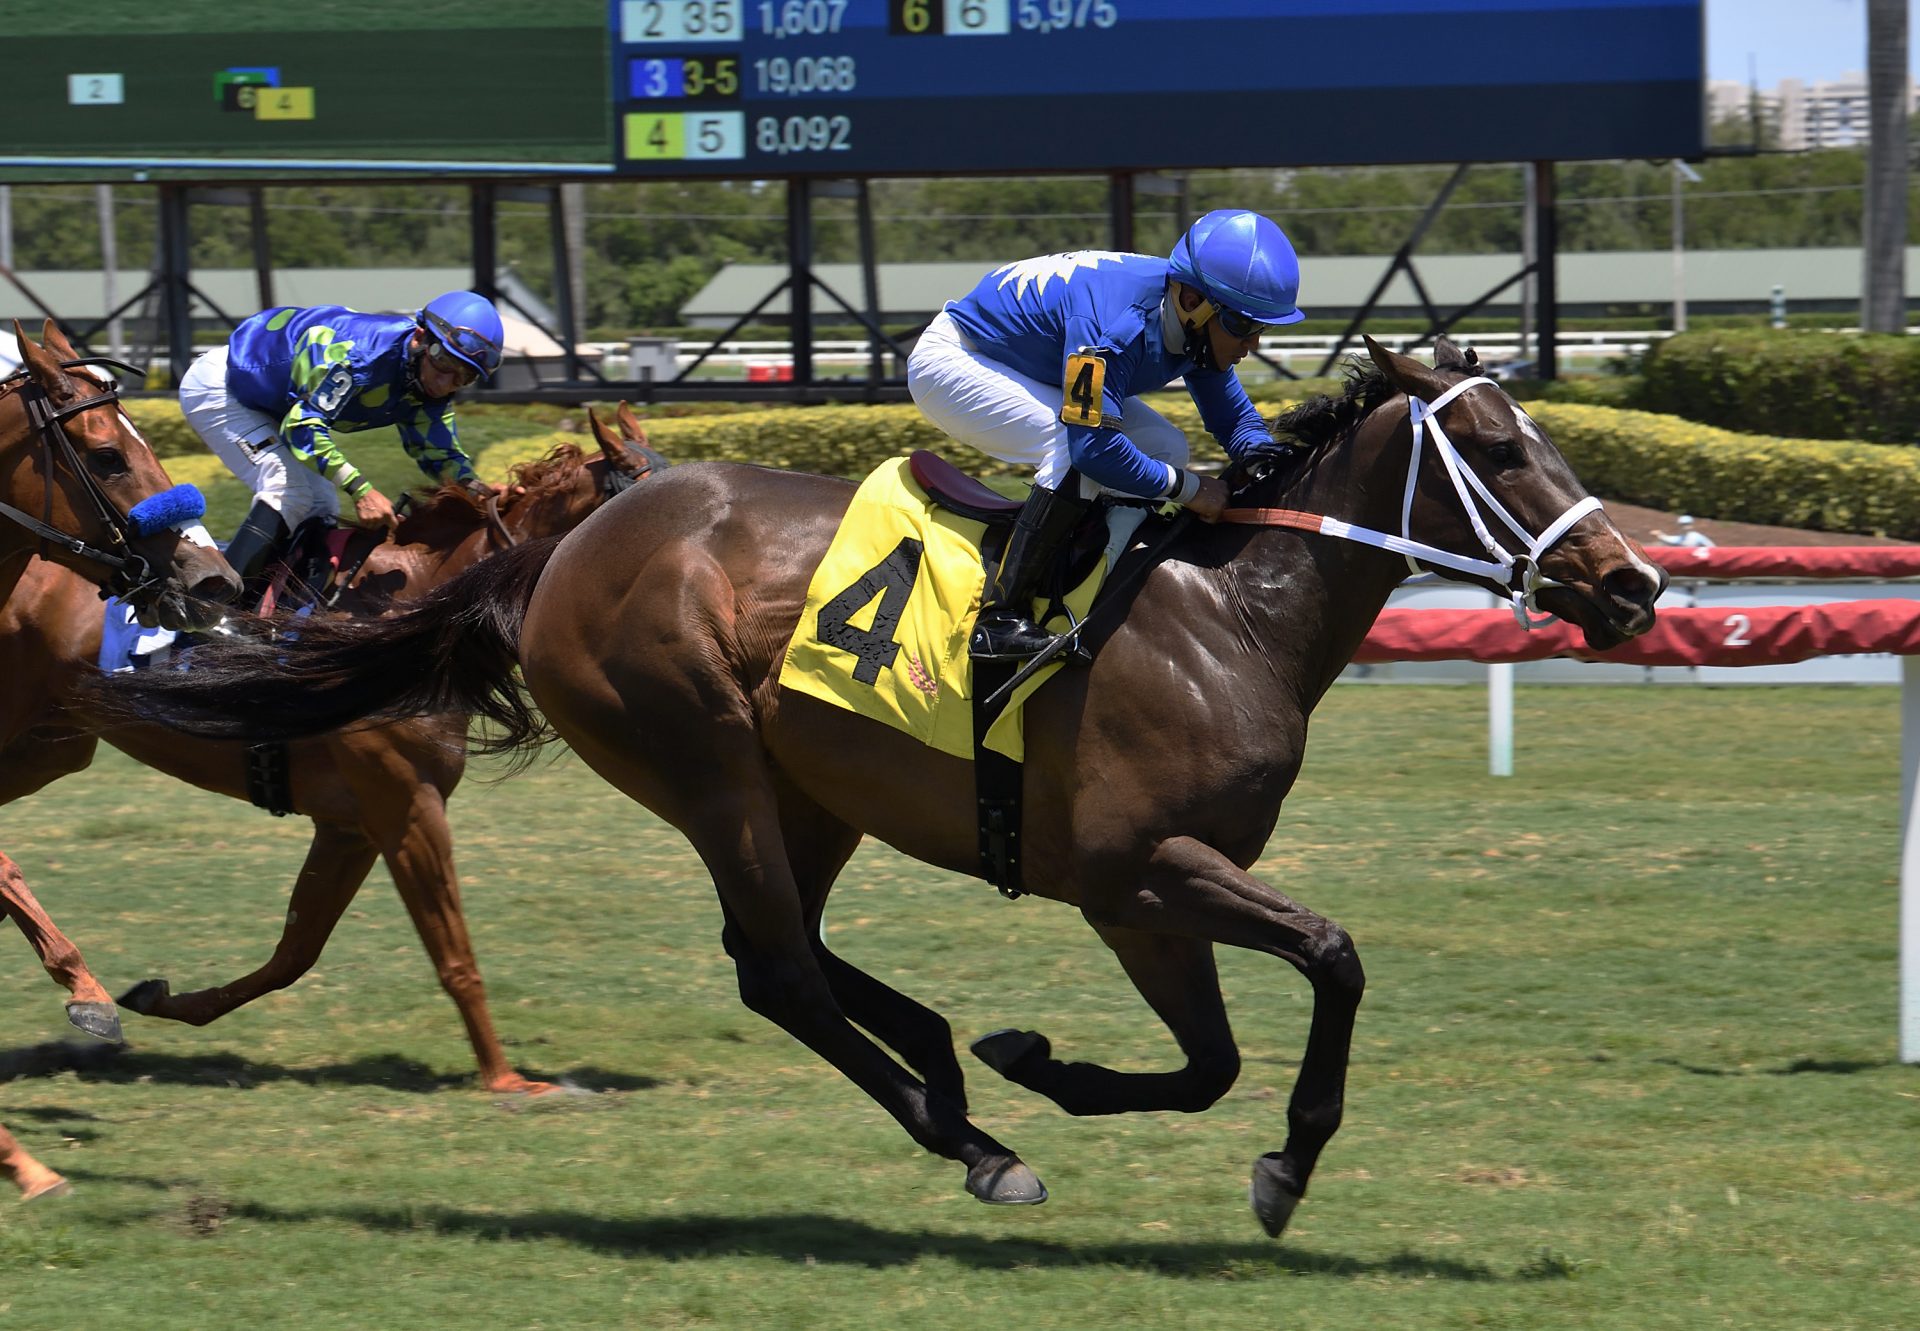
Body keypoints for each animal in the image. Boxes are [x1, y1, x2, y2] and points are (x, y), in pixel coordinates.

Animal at [3, 411, 660, 1098]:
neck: (406, 614)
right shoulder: (407, 808)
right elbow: (454, 955)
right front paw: (507, 1081)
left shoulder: (352, 825)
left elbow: (295, 952)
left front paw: (163, 999)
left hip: (52, 746)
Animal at [97, 341, 1674, 1236]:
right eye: (1498, 446)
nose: (1634, 585)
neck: (1233, 615)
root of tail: (562, 547)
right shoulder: (1136, 870)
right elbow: (1330, 959)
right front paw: (1271, 1161)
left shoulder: (1145, 896)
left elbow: (1213, 1058)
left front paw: (1046, 1058)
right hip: (707, 757)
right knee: (781, 967)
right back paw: (970, 1138)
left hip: (813, 790)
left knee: (778, 946)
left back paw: (947, 1064)